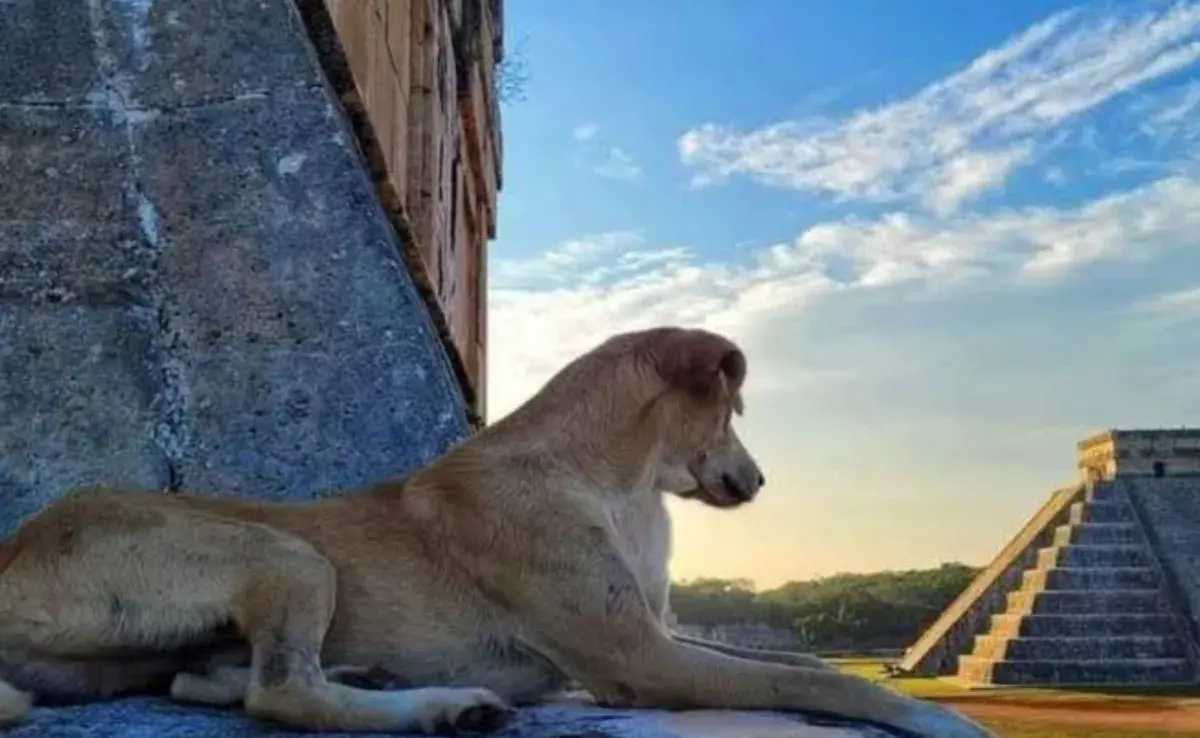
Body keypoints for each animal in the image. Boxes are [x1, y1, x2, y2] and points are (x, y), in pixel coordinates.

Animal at [0, 328, 993, 738]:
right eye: (734, 409)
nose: (757, 481)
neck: (610, 483)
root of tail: (12, 553)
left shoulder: (657, 634)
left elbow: (799, 662)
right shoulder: (639, 659)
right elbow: (833, 685)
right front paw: (935, 717)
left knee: (205, 680)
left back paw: (383, 682)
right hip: (285, 553)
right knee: (278, 695)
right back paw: (442, 707)